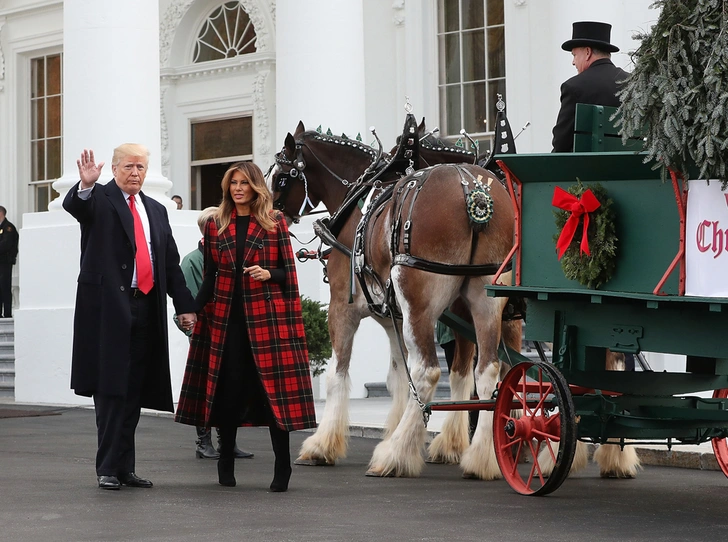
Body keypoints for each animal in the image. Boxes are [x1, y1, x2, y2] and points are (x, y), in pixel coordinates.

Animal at [272, 123, 516, 480]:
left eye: (280, 176)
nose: (273, 213)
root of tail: (474, 192)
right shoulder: (393, 318)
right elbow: (399, 376)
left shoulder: (343, 307)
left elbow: (338, 374)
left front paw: (322, 445)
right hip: (484, 299)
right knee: (487, 371)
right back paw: (483, 457)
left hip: (421, 301)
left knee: (430, 371)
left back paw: (395, 454)